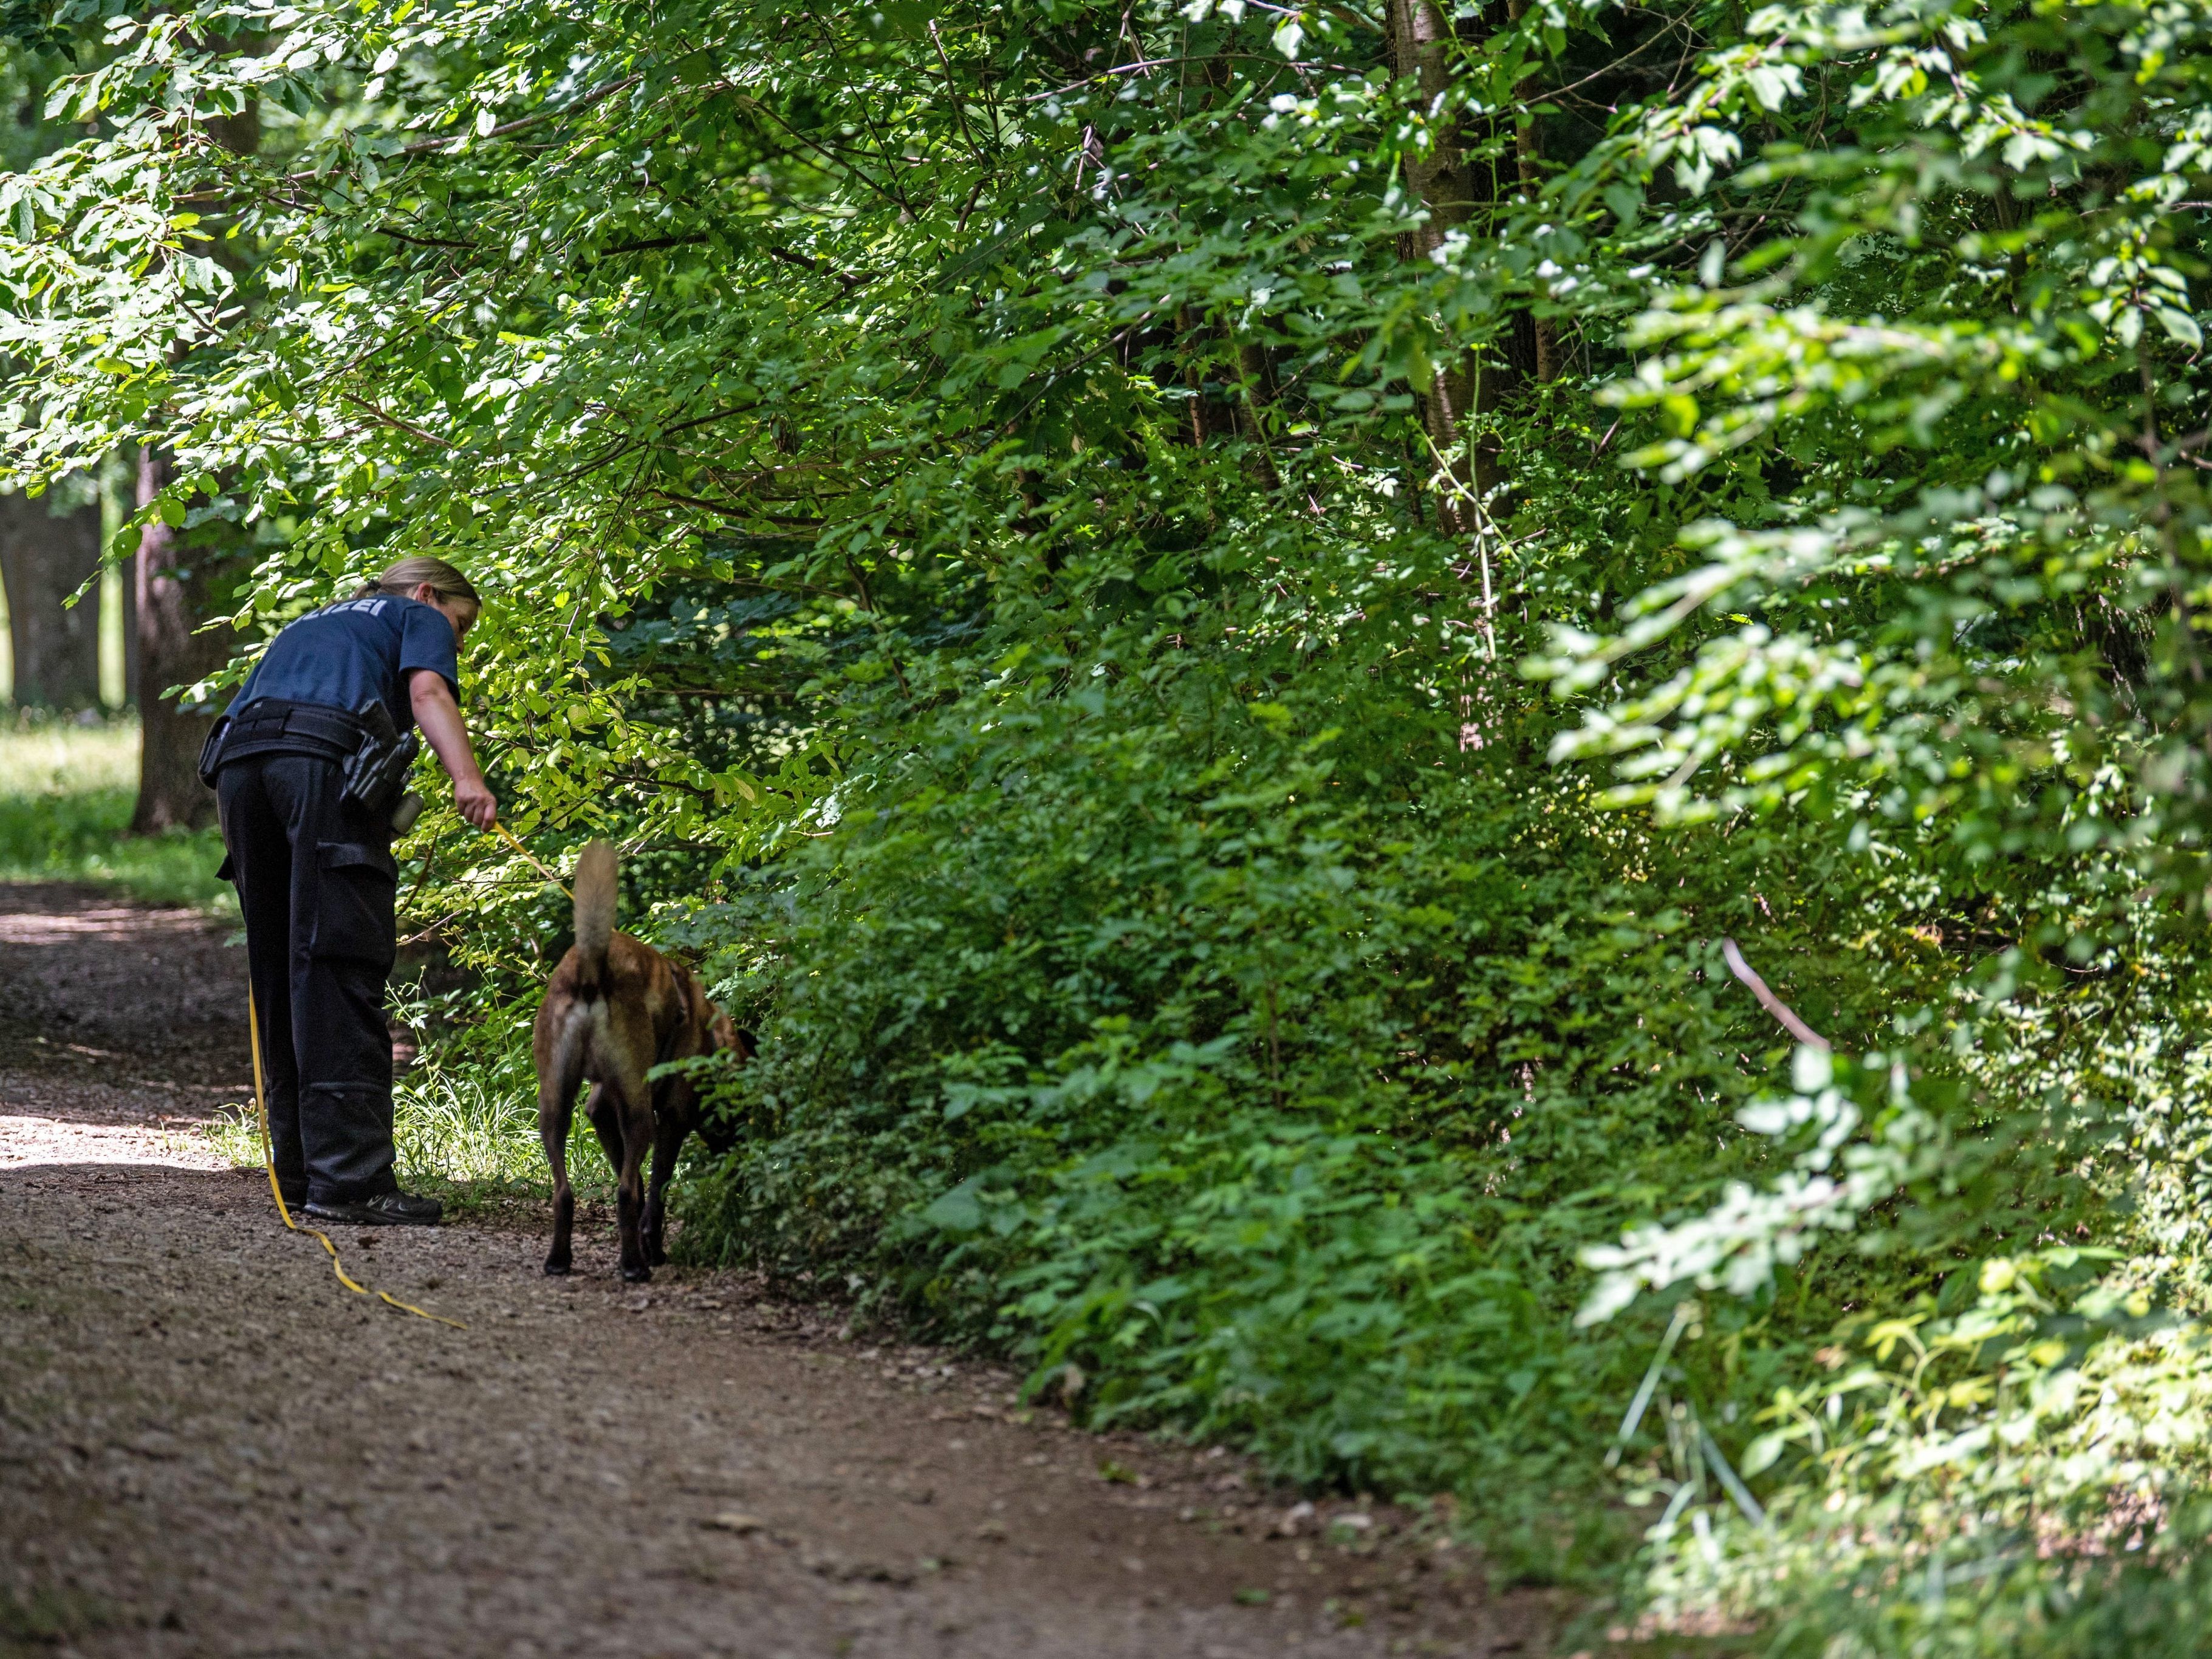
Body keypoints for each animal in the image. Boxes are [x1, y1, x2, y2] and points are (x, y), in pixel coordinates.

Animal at [533, 844, 743, 1282]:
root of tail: (591, 970)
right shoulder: (673, 1117)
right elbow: (655, 1190)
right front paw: (654, 1249)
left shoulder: (599, 1109)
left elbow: (640, 1184)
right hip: (639, 1113)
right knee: (626, 1192)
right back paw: (634, 1266)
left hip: (556, 1106)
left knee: (564, 1192)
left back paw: (560, 1259)